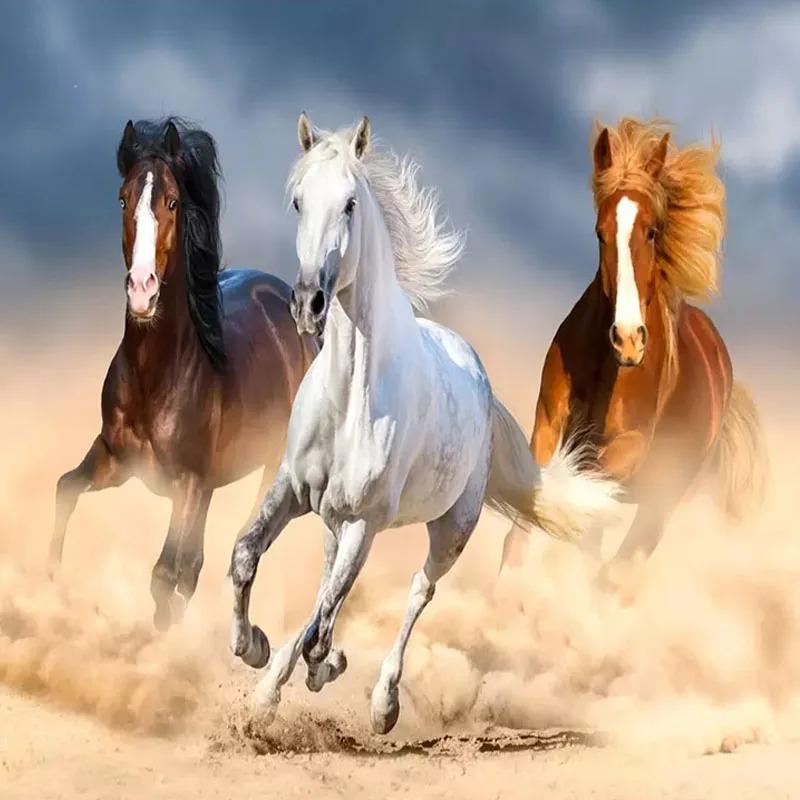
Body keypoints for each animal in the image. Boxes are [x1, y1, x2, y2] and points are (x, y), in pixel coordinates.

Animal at [50, 118, 316, 630]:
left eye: (173, 201)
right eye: (123, 198)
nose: (141, 289)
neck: (156, 375)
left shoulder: (188, 484)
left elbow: (165, 573)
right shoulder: (115, 459)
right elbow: (65, 491)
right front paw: (49, 582)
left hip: (267, 466)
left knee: (227, 549)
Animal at [228, 113, 621, 734]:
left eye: (349, 204)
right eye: (297, 201)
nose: (308, 302)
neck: (351, 398)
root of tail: (478, 375)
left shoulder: (365, 521)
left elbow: (323, 623)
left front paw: (314, 668)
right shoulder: (292, 487)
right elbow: (247, 558)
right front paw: (254, 649)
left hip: (450, 528)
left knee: (416, 590)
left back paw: (382, 703)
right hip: (333, 518)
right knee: (328, 585)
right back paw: (282, 681)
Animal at [501, 118, 767, 577]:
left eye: (652, 230)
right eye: (600, 232)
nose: (627, 340)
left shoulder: (630, 448)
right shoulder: (548, 425)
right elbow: (525, 525)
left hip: (662, 501)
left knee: (619, 566)